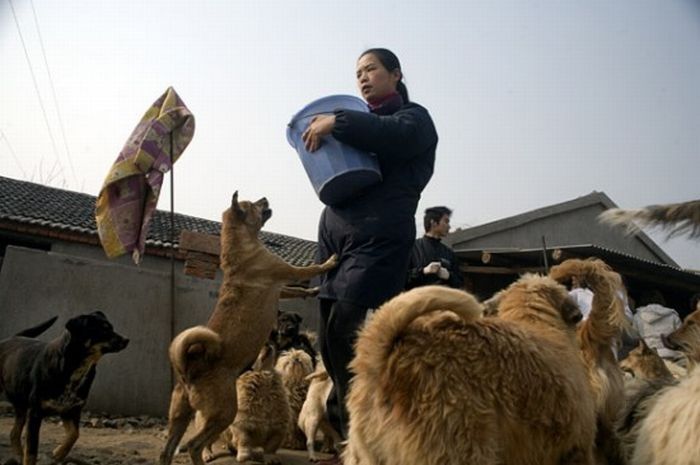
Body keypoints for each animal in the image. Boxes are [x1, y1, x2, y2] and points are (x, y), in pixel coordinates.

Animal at [0, 310, 129, 465]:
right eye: (103, 329)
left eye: (111, 327)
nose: (127, 339)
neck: (74, 368)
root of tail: (10, 338)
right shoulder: (35, 413)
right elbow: (31, 449)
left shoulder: (71, 410)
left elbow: (74, 434)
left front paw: (58, 453)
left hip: (21, 405)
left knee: (14, 433)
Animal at [158, 192, 336, 464]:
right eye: (253, 205)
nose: (264, 198)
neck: (239, 245)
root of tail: (190, 370)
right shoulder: (285, 271)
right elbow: (309, 269)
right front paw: (330, 262)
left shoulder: (281, 289)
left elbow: (296, 289)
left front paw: (313, 290)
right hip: (224, 413)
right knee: (194, 445)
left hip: (180, 414)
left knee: (167, 450)